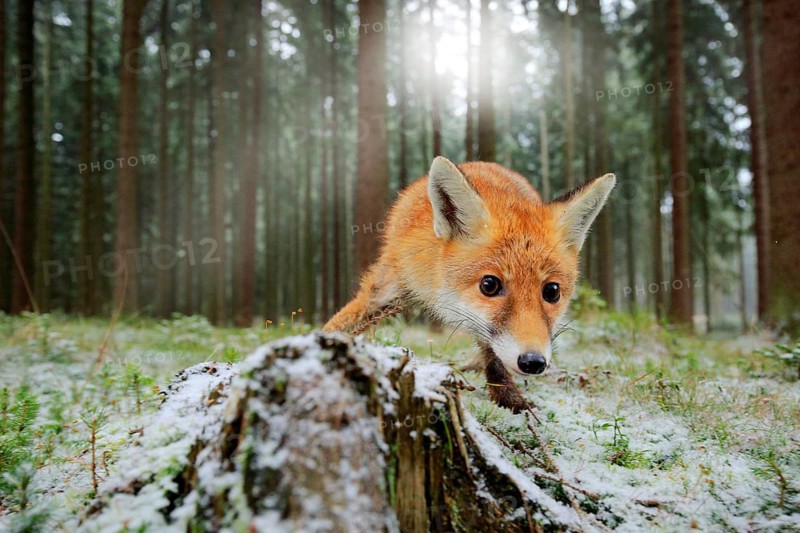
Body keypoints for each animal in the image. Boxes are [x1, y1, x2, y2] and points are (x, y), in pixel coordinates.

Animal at [323, 157, 615, 412]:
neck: (435, 285)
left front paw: (509, 399)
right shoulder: (391, 281)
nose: (533, 362)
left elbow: (494, 357)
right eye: (489, 285)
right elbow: (345, 322)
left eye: (552, 291)